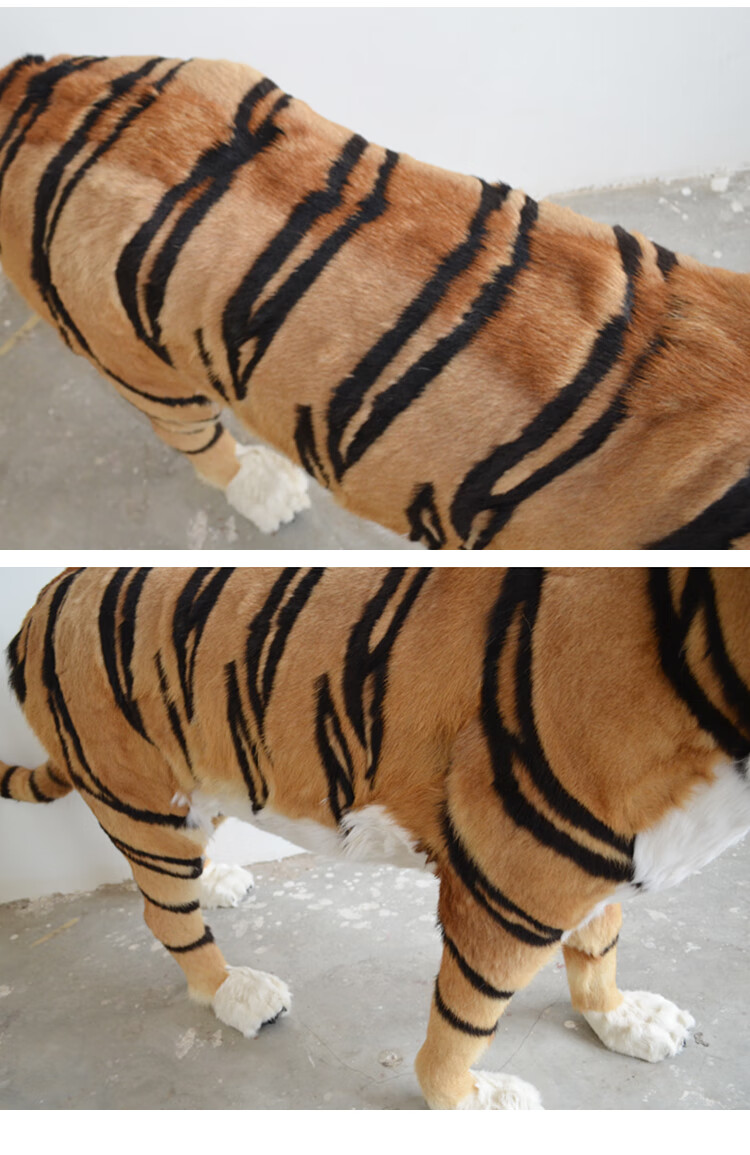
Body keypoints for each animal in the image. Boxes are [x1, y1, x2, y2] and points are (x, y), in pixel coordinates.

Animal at [2, 565, 748, 1109]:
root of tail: (43, 597)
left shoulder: (600, 859)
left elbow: (600, 944)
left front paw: (624, 1018)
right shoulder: (512, 883)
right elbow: (467, 1018)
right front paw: (469, 1099)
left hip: (201, 767)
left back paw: (213, 881)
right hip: (138, 790)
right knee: (161, 911)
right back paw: (235, 991)